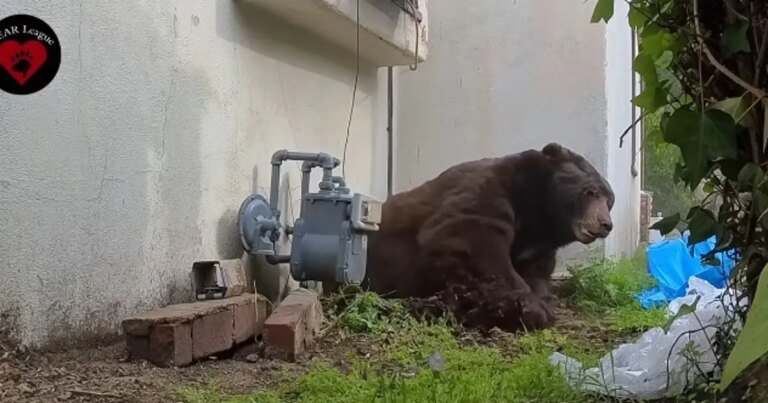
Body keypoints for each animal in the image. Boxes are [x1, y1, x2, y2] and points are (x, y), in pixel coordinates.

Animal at [363, 143, 615, 331]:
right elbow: (474, 244)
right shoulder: (486, 192)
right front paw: (532, 309)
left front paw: (542, 299)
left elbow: (535, 271)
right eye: (591, 192)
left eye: (609, 200)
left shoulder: (534, 242)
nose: (606, 225)